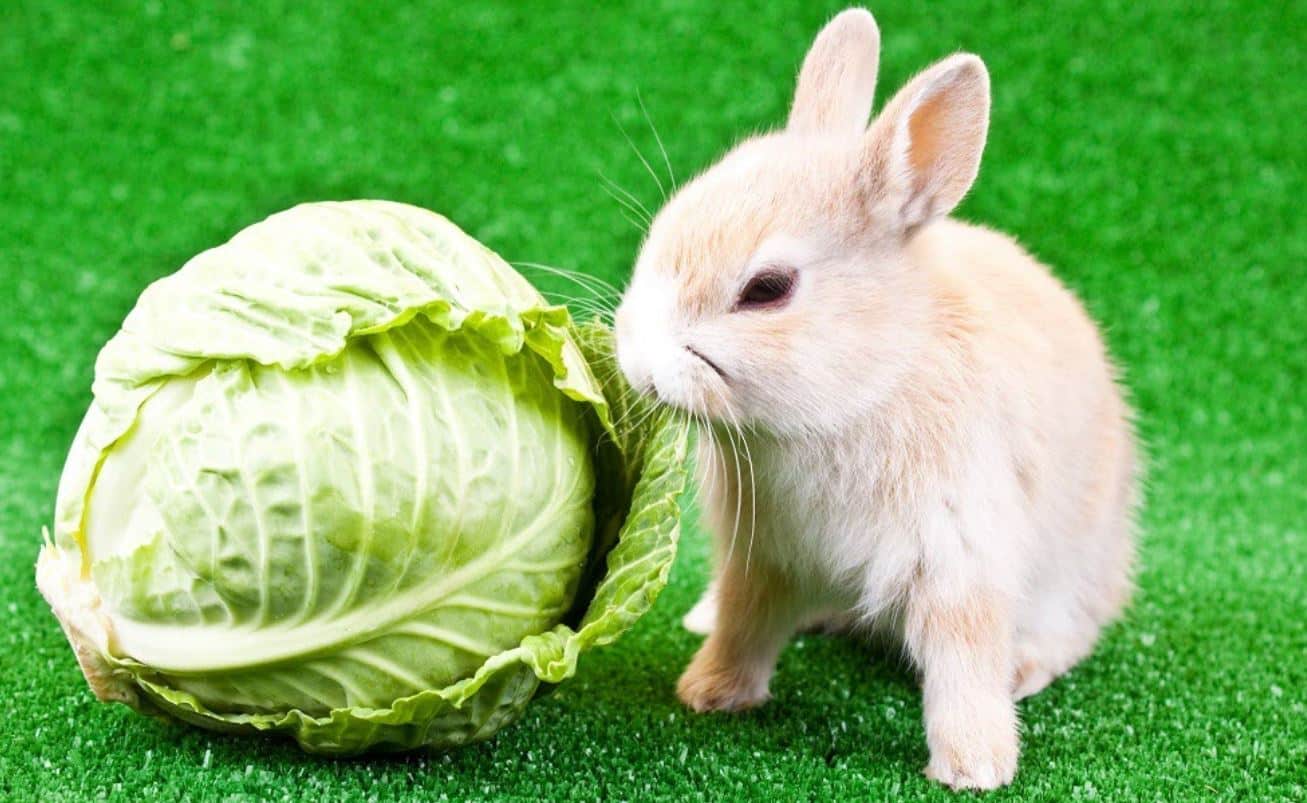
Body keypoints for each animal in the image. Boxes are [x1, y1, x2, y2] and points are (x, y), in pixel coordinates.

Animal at [612, 7, 1138, 791]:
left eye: (767, 289)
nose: (640, 368)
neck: (860, 390)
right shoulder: (762, 556)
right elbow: (745, 622)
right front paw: (709, 692)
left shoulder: (959, 556)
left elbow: (961, 663)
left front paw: (974, 766)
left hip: (1074, 568)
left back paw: (1024, 668)